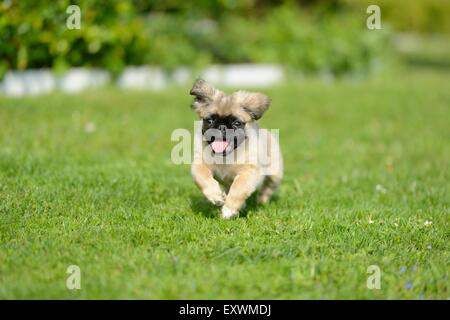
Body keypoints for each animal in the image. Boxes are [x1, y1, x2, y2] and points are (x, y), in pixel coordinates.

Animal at [191, 79, 284, 219]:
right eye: (210, 120)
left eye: (236, 123)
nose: (222, 127)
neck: (225, 157)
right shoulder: (199, 164)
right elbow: (203, 178)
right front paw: (215, 196)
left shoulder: (248, 172)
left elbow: (238, 189)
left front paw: (228, 211)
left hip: (274, 174)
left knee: (268, 188)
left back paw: (261, 200)